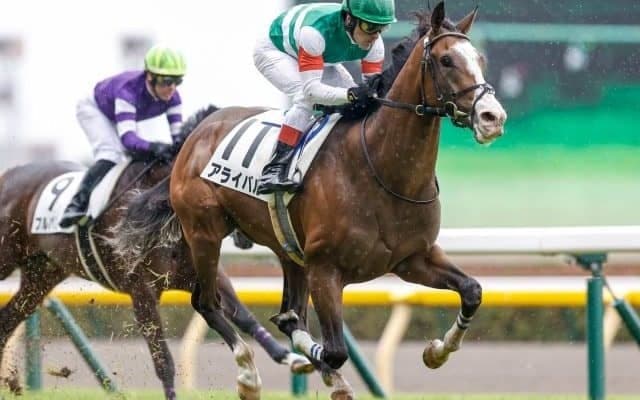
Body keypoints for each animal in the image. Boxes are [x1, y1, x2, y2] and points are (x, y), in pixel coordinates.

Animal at [0, 106, 312, 400]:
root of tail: (9, 175)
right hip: (8, 258)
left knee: (8, 319)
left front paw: (288, 358)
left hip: (42, 275)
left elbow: (245, 317)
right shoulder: (142, 291)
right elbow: (164, 362)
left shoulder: (204, 274)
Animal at [115, 3, 507, 399]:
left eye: (480, 58)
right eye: (446, 60)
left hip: (287, 250)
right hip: (204, 233)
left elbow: (472, 290)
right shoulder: (325, 269)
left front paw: (437, 351)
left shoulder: (413, 258)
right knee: (207, 302)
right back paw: (248, 376)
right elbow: (333, 349)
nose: (493, 117)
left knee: (281, 309)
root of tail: (198, 133)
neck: (382, 170)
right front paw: (323, 371)